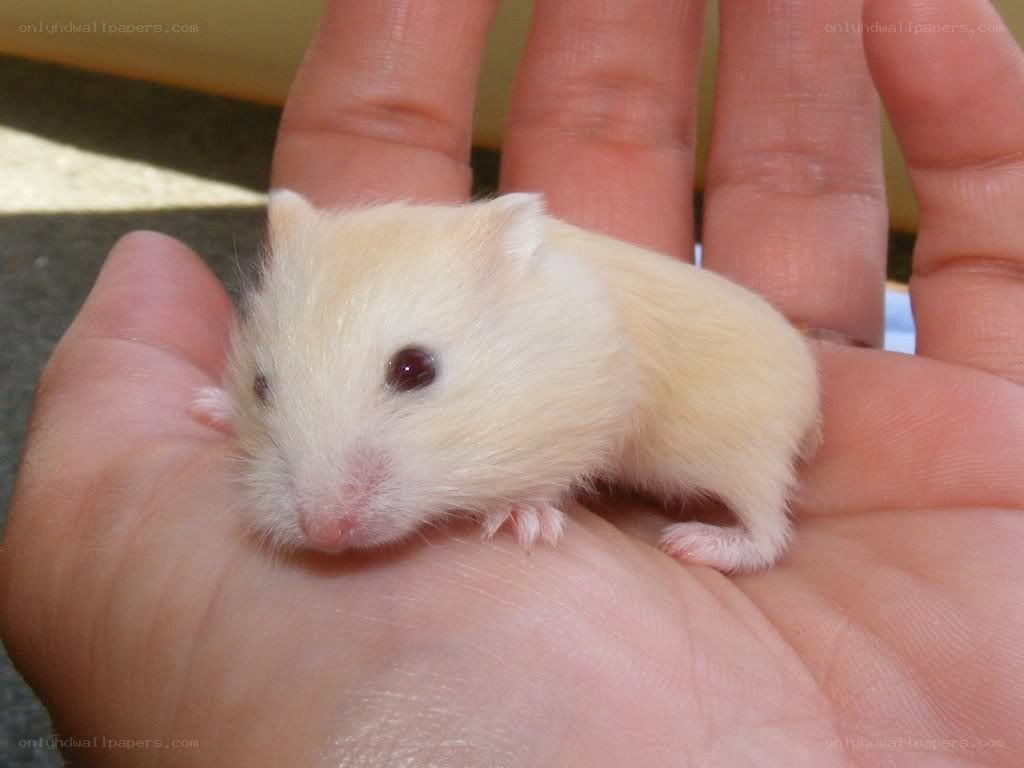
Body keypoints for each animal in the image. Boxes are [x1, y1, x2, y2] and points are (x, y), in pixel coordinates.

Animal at [193, 191, 820, 573]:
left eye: (414, 368)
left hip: (747, 452)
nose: (324, 535)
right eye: (261, 386)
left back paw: (691, 542)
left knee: (769, 529)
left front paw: (524, 521)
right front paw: (207, 406)